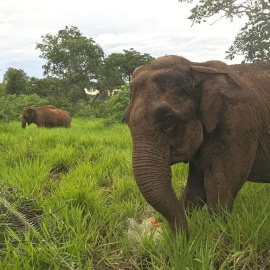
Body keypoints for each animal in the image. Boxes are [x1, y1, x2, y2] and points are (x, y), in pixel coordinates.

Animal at [124, 55, 270, 234]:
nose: (157, 225)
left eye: (167, 119)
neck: (196, 66)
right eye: (125, 120)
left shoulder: (238, 127)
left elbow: (219, 192)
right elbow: (195, 191)